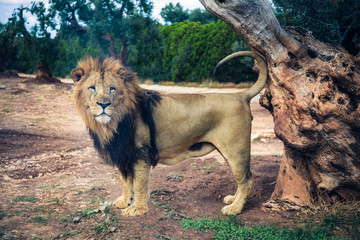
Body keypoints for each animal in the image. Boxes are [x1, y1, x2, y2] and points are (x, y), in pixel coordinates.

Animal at [71, 51, 268, 217]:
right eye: (92, 88)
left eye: (112, 88)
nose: (103, 104)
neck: (112, 122)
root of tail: (239, 95)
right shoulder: (123, 155)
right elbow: (126, 182)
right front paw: (125, 201)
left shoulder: (141, 154)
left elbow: (139, 185)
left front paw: (137, 209)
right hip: (228, 151)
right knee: (243, 178)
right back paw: (232, 200)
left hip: (235, 150)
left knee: (247, 179)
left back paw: (235, 208)